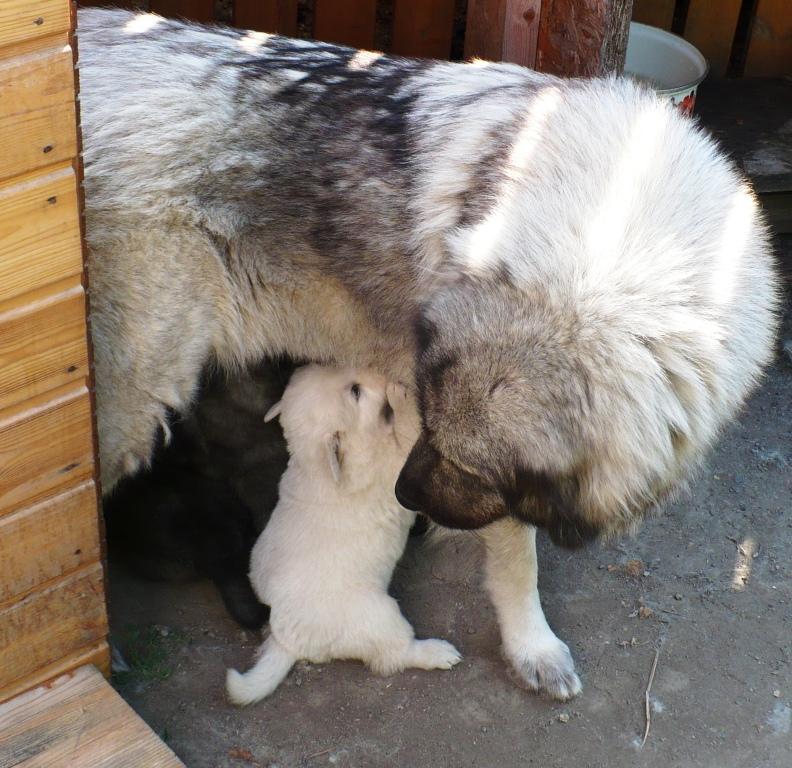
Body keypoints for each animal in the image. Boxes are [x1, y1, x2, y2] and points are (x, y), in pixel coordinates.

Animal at [226, 364, 460, 704]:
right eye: (355, 392)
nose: (382, 375)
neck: (315, 465)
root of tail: (286, 639)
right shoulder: (395, 468)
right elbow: (406, 429)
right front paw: (400, 395)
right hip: (379, 616)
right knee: (395, 654)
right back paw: (437, 652)